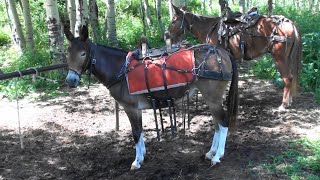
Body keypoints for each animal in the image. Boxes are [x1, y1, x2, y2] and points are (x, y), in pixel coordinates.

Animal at [63, 25, 238, 170]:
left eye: (83, 53)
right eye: (68, 52)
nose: (71, 80)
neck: (121, 70)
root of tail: (222, 52)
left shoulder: (130, 107)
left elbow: (136, 132)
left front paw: (136, 161)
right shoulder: (137, 109)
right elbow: (140, 132)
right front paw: (142, 156)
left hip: (213, 97)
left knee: (223, 122)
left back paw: (217, 156)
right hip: (211, 98)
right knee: (217, 123)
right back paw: (211, 152)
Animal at [168, 4, 302, 111]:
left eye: (174, 20)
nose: (166, 35)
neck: (210, 28)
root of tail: (289, 23)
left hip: (280, 58)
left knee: (287, 78)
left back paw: (284, 105)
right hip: (288, 58)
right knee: (291, 77)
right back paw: (289, 101)